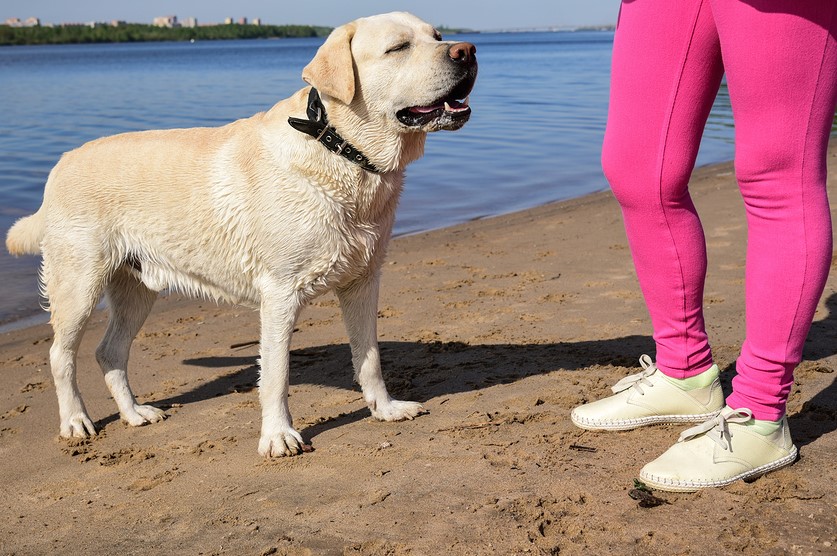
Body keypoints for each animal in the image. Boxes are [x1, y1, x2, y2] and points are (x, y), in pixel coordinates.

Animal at [6, 11, 476, 456]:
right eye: (398, 47)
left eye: (437, 36)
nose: (467, 50)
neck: (340, 148)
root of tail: (60, 164)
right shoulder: (280, 293)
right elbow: (276, 374)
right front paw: (278, 436)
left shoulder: (363, 280)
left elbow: (370, 356)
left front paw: (386, 409)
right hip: (79, 281)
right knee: (60, 354)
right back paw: (75, 421)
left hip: (136, 287)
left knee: (109, 351)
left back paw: (135, 413)